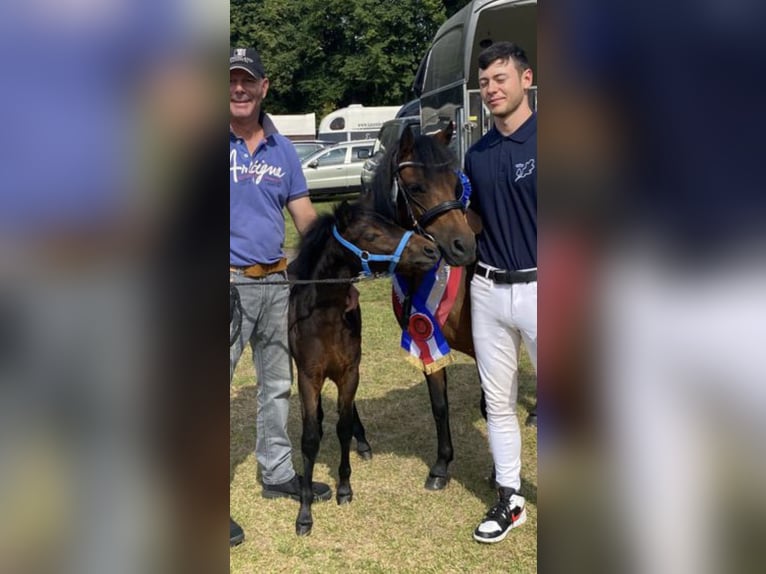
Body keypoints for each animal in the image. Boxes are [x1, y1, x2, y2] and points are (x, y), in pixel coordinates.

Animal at [292, 200, 440, 536]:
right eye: (372, 235)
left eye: (393, 224)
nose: (431, 249)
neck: (325, 318)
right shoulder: (308, 377)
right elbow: (309, 438)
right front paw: (305, 513)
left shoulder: (350, 373)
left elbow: (344, 427)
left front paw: (345, 488)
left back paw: (363, 443)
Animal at [358, 125, 480, 490]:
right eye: (415, 188)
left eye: (456, 185)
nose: (464, 247)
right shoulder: (427, 343)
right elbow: (439, 405)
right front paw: (441, 466)